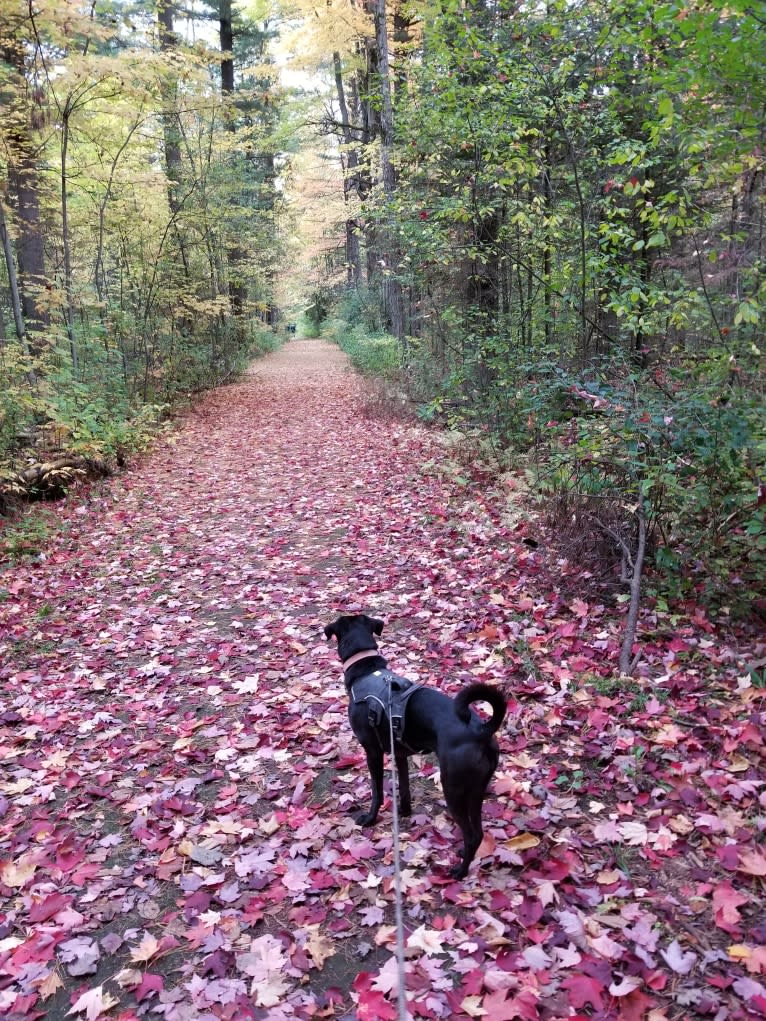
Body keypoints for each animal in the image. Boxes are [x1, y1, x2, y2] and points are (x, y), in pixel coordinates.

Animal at [324, 612, 510, 878]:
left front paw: (370, 817)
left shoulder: (372, 751)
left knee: (472, 834)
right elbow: (404, 788)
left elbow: (377, 790)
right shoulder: (400, 753)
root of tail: (481, 730)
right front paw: (404, 811)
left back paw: (459, 871)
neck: (367, 670)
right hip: (476, 789)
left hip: (453, 787)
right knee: (478, 830)